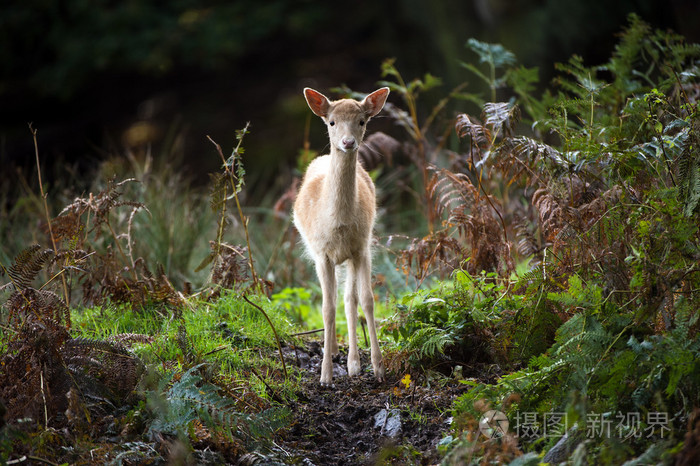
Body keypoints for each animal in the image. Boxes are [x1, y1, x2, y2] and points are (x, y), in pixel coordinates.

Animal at [293, 87, 389, 386]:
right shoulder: (322, 253)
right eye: (332, 122)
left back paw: (352, 363)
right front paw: (325, 377)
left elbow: (366, 301)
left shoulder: (362, 248)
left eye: (362, 121)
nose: (347, 142)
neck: (338, 225)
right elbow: (326, 308)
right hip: (319, 255)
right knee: (334, 300)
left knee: (349, 300)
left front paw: (377, 369)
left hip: (350, 257)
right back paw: (335, 352)